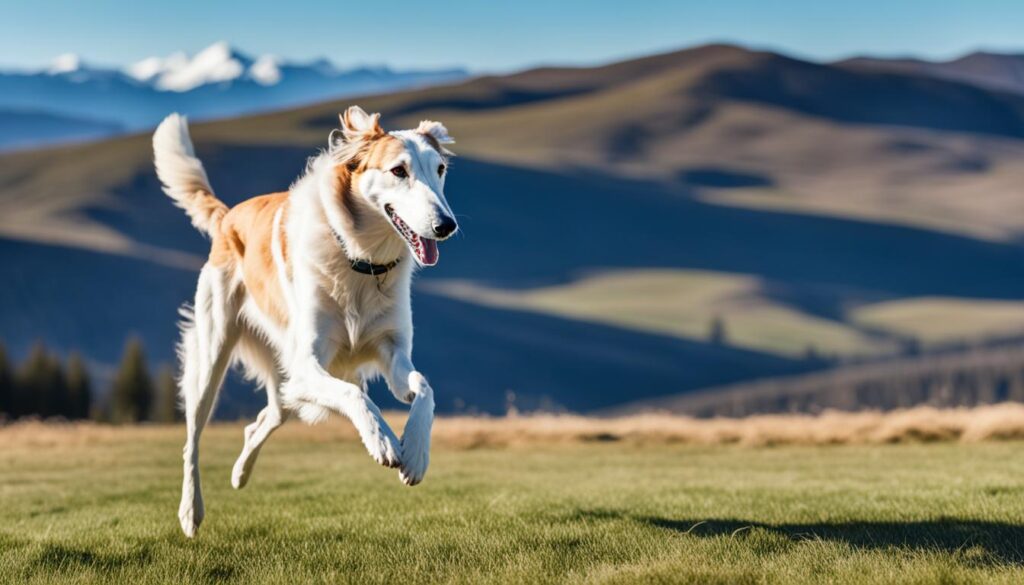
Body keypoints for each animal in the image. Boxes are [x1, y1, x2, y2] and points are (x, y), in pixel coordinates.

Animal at [151, 106, 456, 540]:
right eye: (399, 171)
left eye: (440, 169)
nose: (447, 225)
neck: (360, 260)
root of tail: (229, 217)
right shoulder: (309, 362)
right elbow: (355, 394)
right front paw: (382, 440)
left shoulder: (393, 354)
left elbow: (423, 388)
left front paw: (415, 453)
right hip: (212, 357)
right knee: (192, 438)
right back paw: (191, 513)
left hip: (285, 381)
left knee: (269, 416)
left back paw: (240, 473)